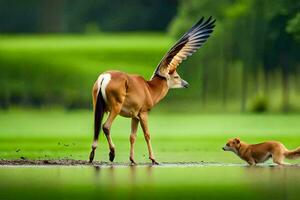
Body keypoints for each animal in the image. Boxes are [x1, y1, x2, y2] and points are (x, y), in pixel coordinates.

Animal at [89, 16, 216, 165]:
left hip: (97, 105)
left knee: (96, 126)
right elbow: (147, 134)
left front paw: (132, 159)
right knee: (106, 126)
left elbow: (132, 136)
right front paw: (153, 159)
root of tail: (104, 77)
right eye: (176, 76)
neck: (150, 89)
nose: (186, 84)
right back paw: (111, 153)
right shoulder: (144, 112)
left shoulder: (135, 115)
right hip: (116, 105)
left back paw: (92, 155)